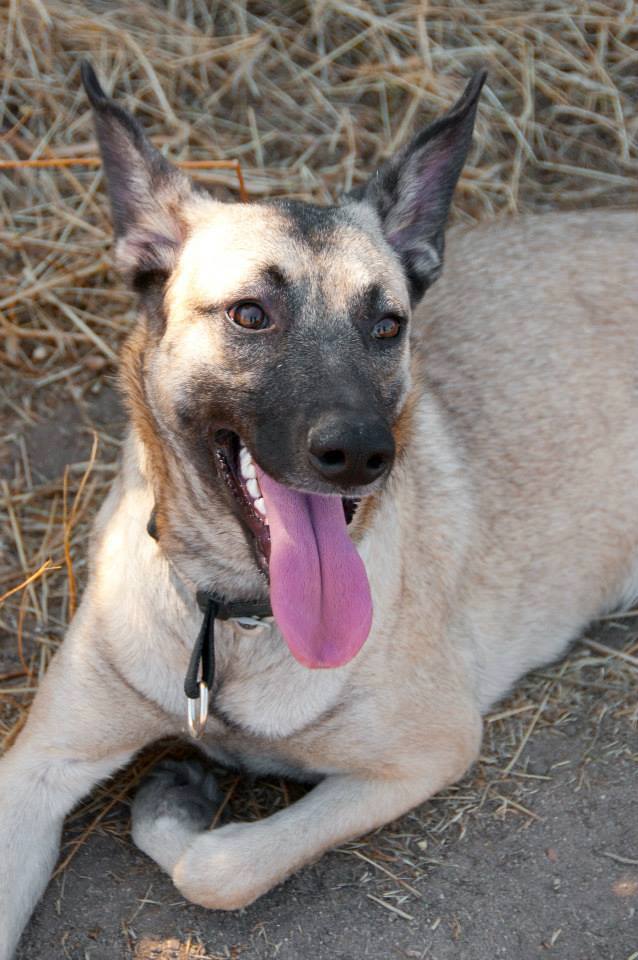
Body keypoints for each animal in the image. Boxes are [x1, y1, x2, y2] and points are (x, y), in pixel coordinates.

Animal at [1, 63, 638, 956]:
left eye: (387, 324)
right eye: (249, 314)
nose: (363, 454)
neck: (233, 622)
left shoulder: (430, 747)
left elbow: (219, 869)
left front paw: (180, 806)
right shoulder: (38, 766)